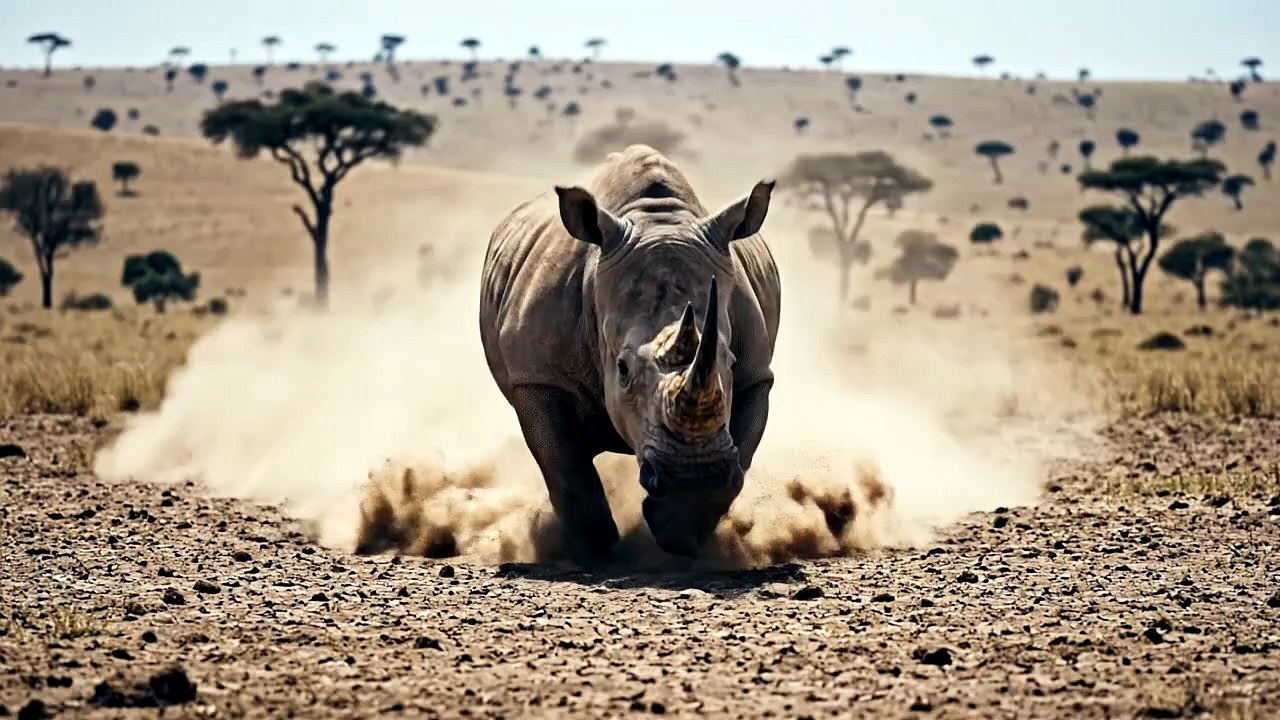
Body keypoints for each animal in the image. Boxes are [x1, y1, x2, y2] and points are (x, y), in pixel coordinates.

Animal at [479, 145, 781, 561]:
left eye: (730, 363)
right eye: (621, 369)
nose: (693, 475)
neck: (656, 219)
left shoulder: (756, 374)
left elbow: (743, 448)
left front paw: (681, 531)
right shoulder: (539, 378)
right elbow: (567, 467)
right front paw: (598, 554)